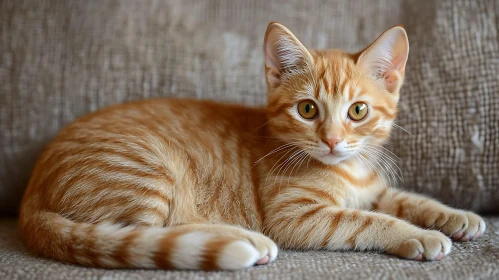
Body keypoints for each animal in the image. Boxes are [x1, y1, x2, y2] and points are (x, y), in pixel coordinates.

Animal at [19, 23, 484, 270]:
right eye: (308, 109)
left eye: (357, 111)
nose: (332, 140)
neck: (348, 170)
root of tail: (30, 196)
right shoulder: (297, 217)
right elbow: (367, 220)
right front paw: (417, 235)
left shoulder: (375, 189)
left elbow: (407, 199)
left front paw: (455, 215)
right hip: (149, 169)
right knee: (149, 231)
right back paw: (244, 239)